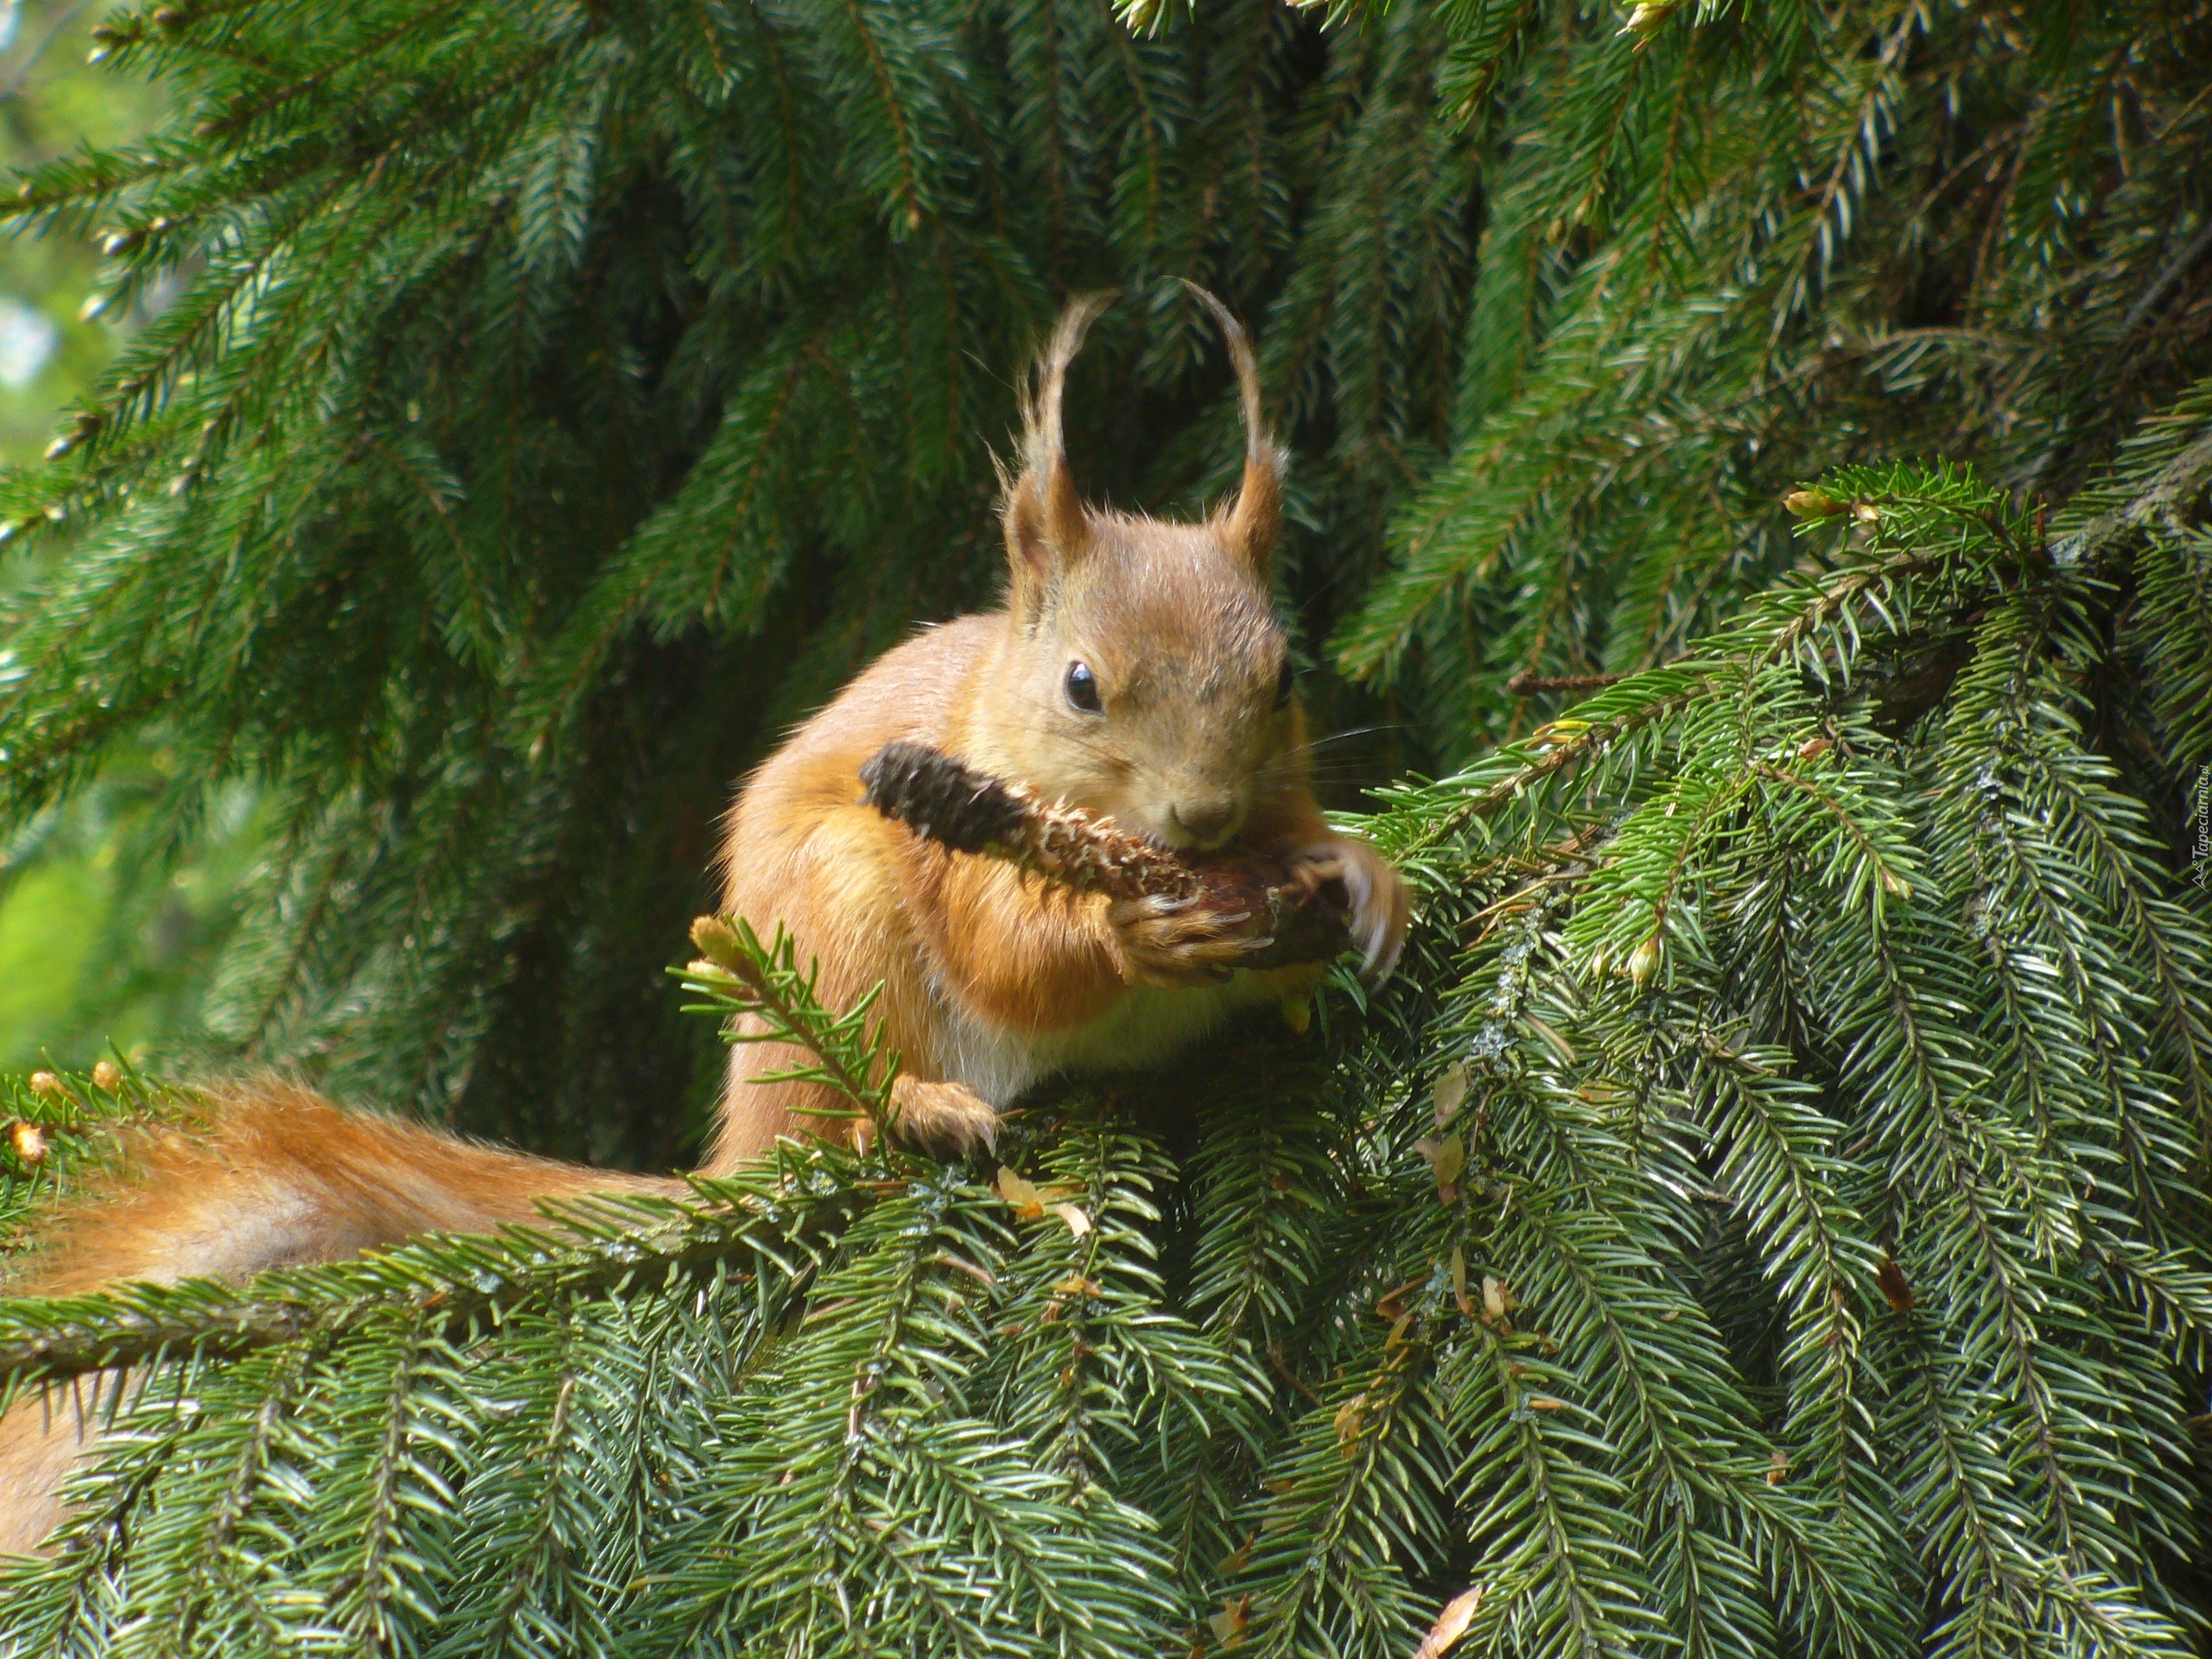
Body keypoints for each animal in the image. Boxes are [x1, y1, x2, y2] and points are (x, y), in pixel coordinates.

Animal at [0, 291, 1406, 1557]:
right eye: (1080, 686)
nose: (1204, 818)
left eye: (1285, 677)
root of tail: (748, 1130)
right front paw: (1136, 935)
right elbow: (1009, 957)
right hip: (844, 915)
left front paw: (1362, 876)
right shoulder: (949, 852)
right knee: (864, 1102)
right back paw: (918, 1109)